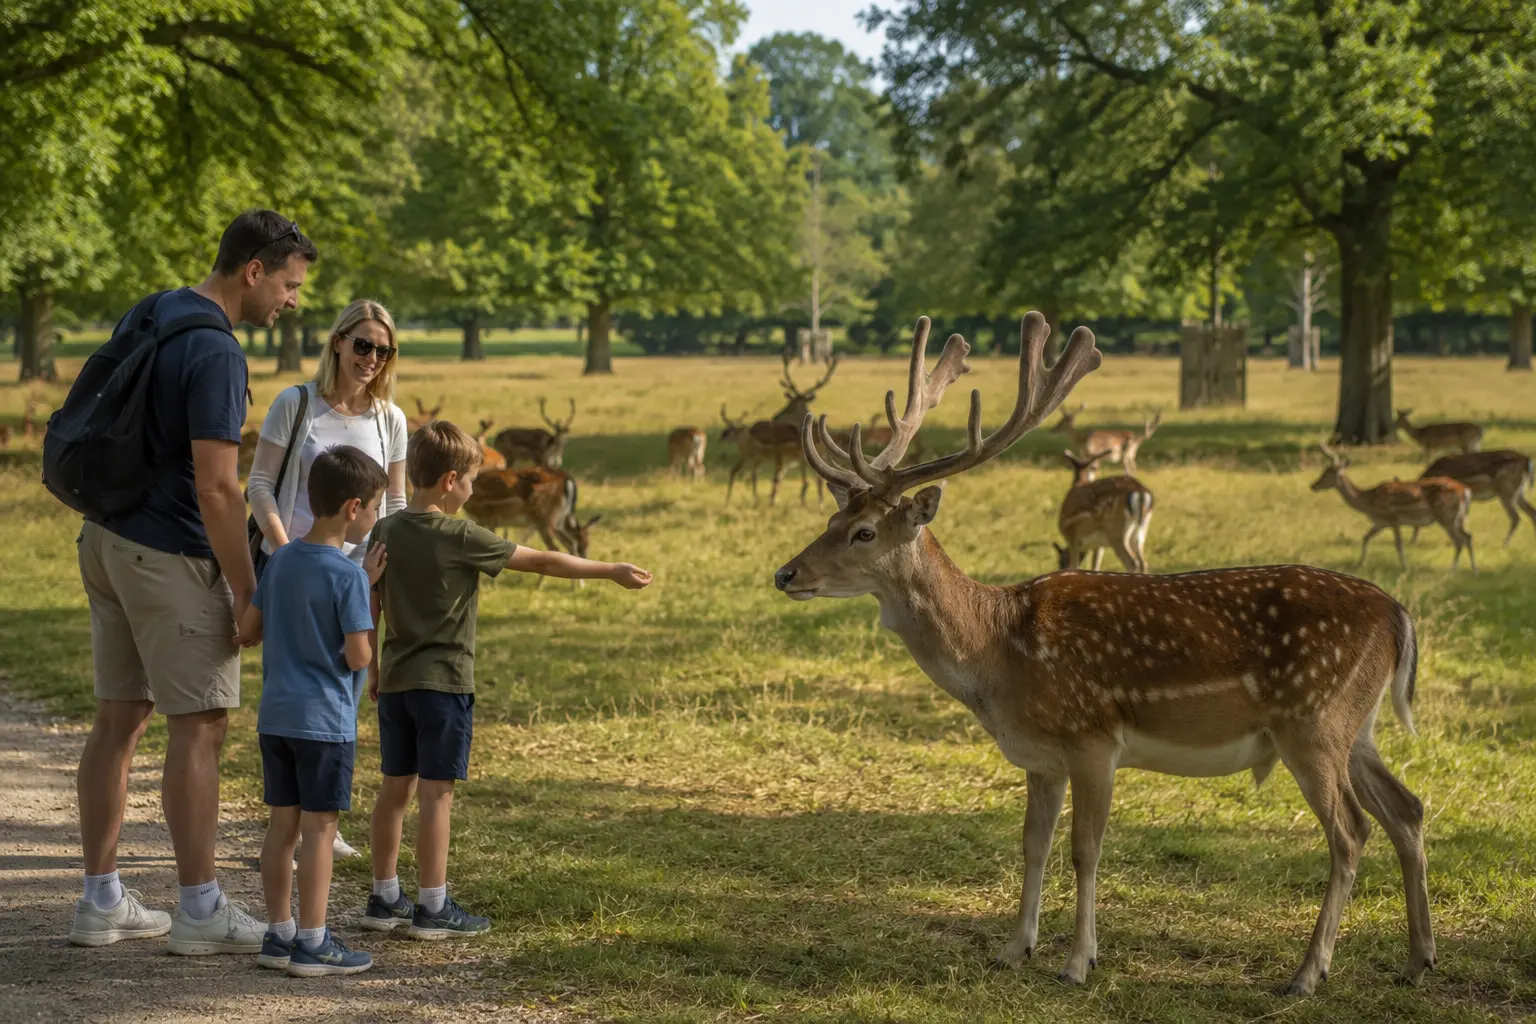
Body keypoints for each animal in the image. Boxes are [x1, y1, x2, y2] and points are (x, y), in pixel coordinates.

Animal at [462, 465, 600, 587]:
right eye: (586, 542)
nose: (585, 555)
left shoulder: (488, 518)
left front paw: (490, 584)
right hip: (555, 522)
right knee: (569, 545)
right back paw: (572, 587)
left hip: (545, 518)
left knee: (555, 548)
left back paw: (539, 585)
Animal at [772, 313, 1433, 996]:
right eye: (830, 519)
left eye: (864, 532)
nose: (786, 574)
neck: (998, 656)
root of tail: (1398, 614)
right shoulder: (1040, 758)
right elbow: (1032, 844)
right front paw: (1015, 948)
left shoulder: (1093, 739)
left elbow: (1085, 849)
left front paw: (1077, 962)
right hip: (1356, 726)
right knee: (1408, 810)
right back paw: (1417, 960)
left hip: (1313, 721)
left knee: (1351, 832)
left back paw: (1308, 972)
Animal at [1311, 443, 1475, 573]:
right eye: (1324, 471)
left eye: (1327, 473)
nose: (1313, 485)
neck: (1368, 502)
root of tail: (1465, 490)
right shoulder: (1379, 522)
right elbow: (1365, 538)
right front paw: (1360, 563)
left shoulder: (1393, 519)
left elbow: (1399, 544)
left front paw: (1405, 567)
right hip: (1458, 517)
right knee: (1467, 536)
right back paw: (1473, 571)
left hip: (1446, 515)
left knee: (1459, 540)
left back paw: (1454, 570)